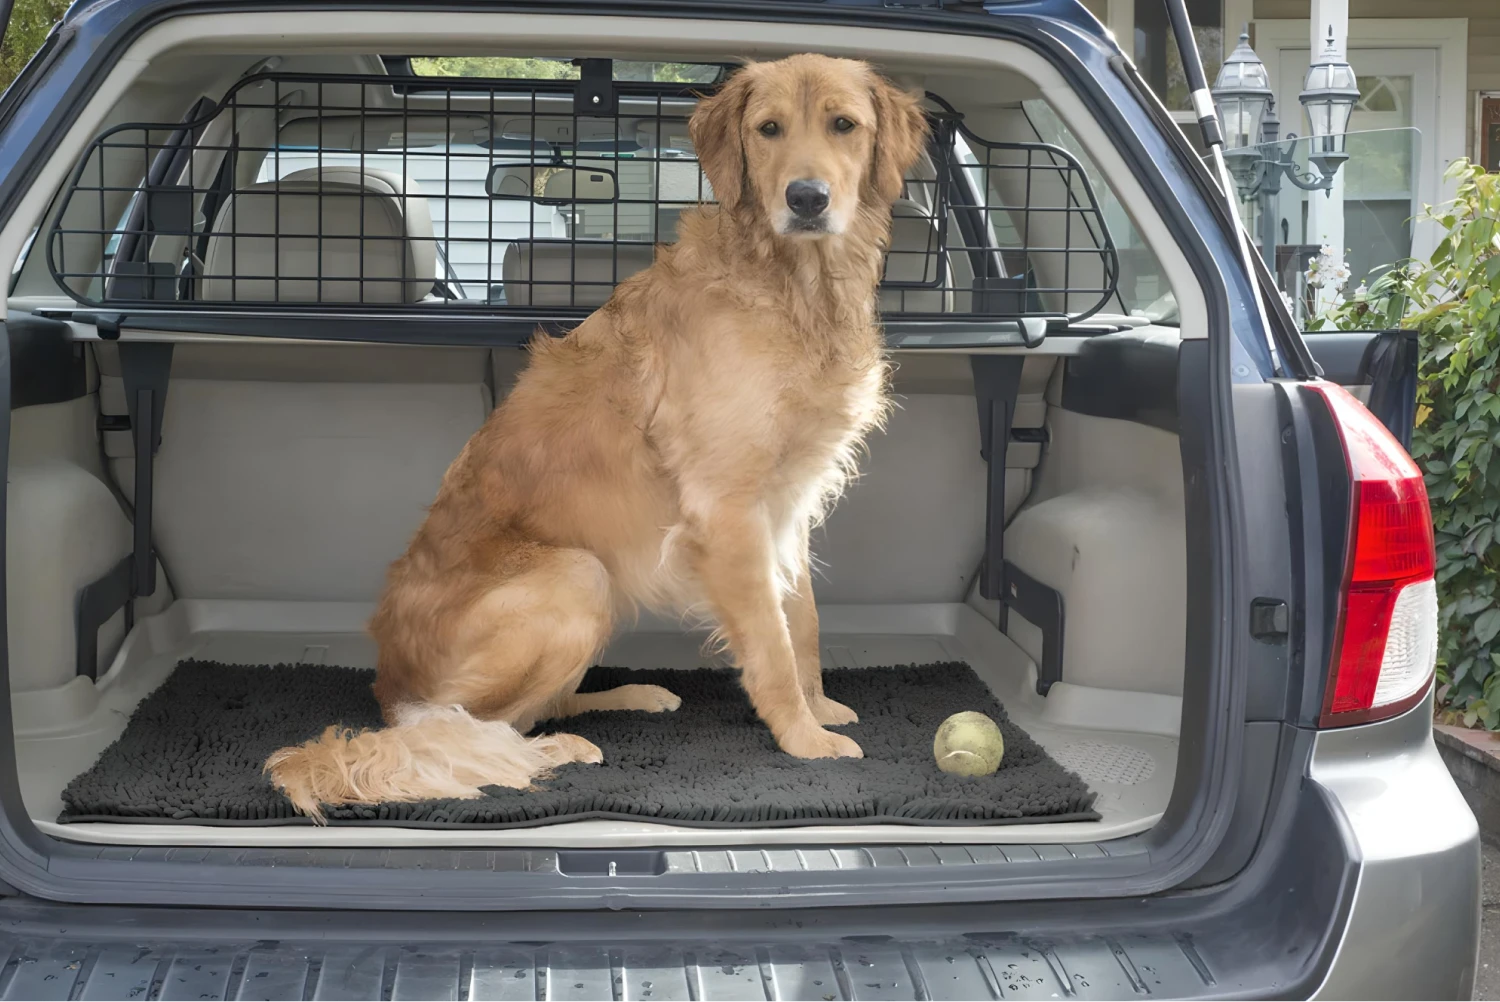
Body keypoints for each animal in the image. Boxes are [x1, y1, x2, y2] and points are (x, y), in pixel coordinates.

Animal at [267, 54, 924, 816]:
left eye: (844, 125)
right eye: (769, 130)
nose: (807, 198)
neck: (795, 286)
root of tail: (388, 688)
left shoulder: (787, 500)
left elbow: (804, 620)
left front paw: (819, 708)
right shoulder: (727, 507)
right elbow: (772, 642)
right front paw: (802, 737)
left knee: (535, 707)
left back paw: (630, 696)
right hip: (576, 576)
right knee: (466, 727)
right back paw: (552, 750)